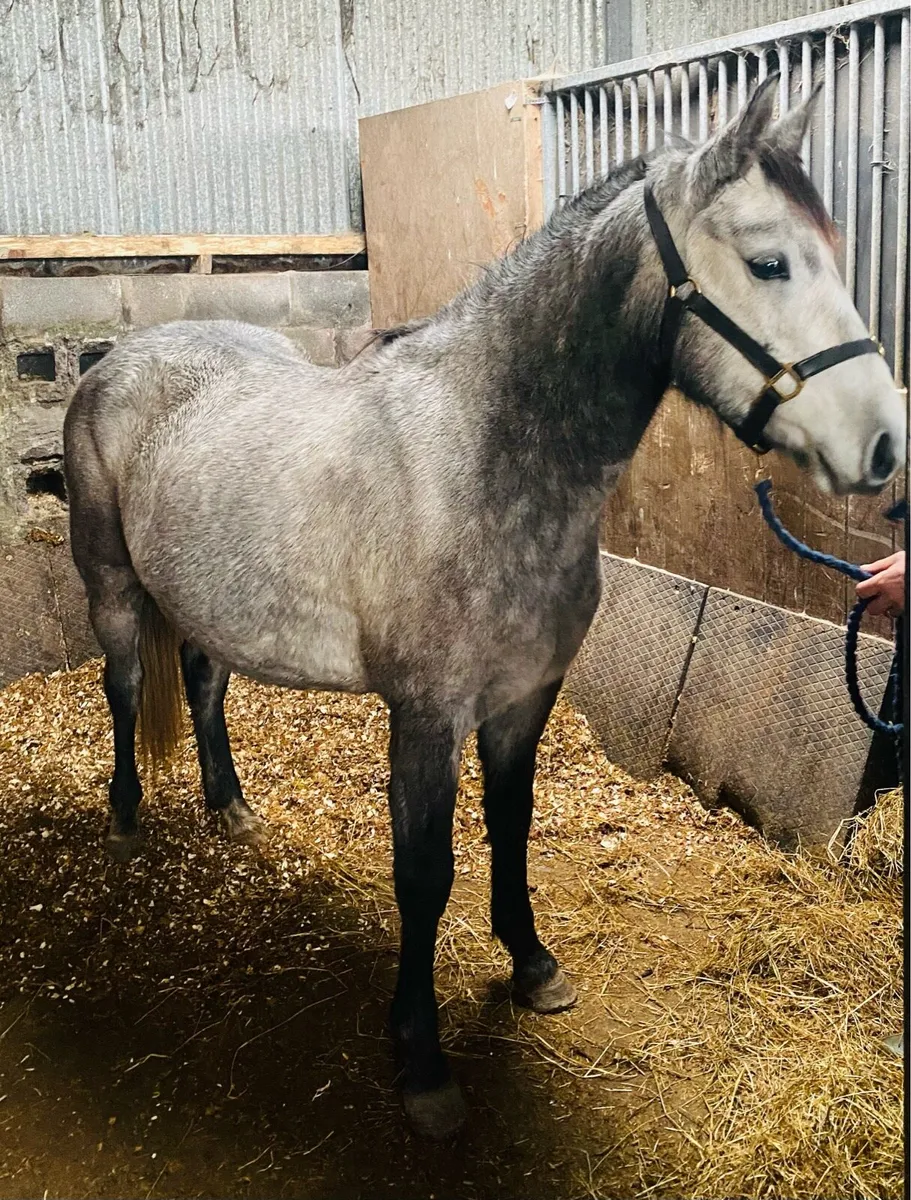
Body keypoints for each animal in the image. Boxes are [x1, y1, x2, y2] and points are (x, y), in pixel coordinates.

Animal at [63, 76, 905, 1139]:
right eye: (767, 262)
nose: (885, 444)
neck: (487, 461)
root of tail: (118, 360)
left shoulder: (523, 698)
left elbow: (510, 825)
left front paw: (533, 967)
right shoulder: (427, 717)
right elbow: (424, 876)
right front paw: (421, 1061)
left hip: (210, 600)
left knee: (205, 687)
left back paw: (231, 810)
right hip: (112, 587)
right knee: (127, 690)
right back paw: (127, 821)